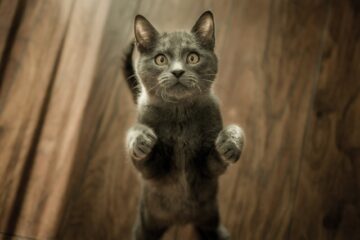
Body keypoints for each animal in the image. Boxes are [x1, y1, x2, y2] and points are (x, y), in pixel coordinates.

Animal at [124, 10, 245, 239]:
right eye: (161, 59)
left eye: (192, 57)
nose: (178, 71)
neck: (180, 115)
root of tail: (181, 221)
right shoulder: (151, 173)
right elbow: (142, 154)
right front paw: (141, 139)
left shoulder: (208, 171)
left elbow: (218, 157)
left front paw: (231, 142)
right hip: (146, 223)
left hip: (210, 217)